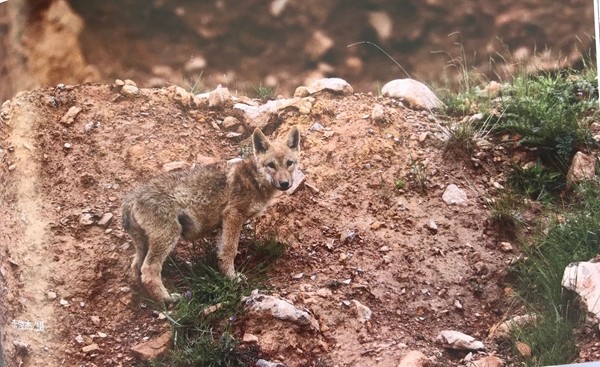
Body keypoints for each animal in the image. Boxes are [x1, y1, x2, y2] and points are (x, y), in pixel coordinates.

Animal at [122, 126, 300, 302]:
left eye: (289, 163)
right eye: (271, 165)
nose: (285, 183)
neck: (254, 180)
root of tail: (131, 198)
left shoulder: (224, 223)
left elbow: (221, 253)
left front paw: (226, 275)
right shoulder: (233, 215)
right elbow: (230, 250)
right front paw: (233, 278)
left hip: (144, 244)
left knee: (135, 267)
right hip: (168, 236)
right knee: (148, 270)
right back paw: (168, 299)